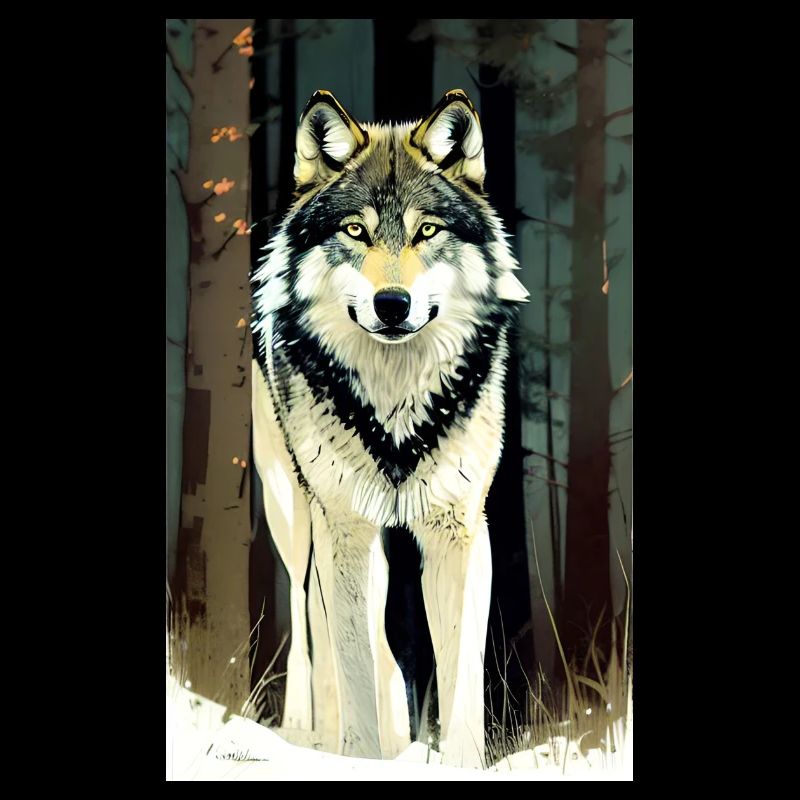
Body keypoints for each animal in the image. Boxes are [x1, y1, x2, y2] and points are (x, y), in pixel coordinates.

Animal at [250, 89, 528, 769]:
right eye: (356, 230)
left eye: (427, 230)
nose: (392, 304)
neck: (396, 405)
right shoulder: (344, 526)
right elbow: (349, 659)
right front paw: (360, 756)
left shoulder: (459, 528)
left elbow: (459, 665)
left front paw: (457, 763)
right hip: (295, 516)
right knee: (311, 615)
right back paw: (312, 734)